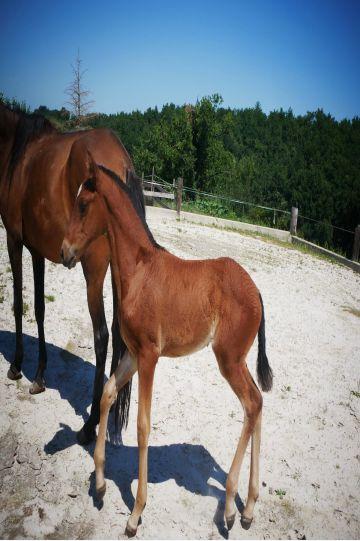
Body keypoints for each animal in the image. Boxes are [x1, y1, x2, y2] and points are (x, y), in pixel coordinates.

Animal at [0, 103, 138, 446]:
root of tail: (121, 159)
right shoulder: (36, 249)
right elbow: (38, 307)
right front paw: (39, 376)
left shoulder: (14, 239)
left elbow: (19, 304)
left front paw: (18, 366)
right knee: (116, 332)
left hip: (94, 270)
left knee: (102, 336)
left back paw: (89, 426)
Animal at [61, 157, 272, 536]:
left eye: (83, 204)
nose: (64, 251)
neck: (139, 270)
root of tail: (257, 291)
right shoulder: (132, 353)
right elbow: (107, 394)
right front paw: (99, 485)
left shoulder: (149, 357)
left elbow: (143, 425)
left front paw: (135, 513)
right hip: (238, 359)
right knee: (258, 404)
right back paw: (247, 509)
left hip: (228, 360)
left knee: (251, 404)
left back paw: (229, 510)